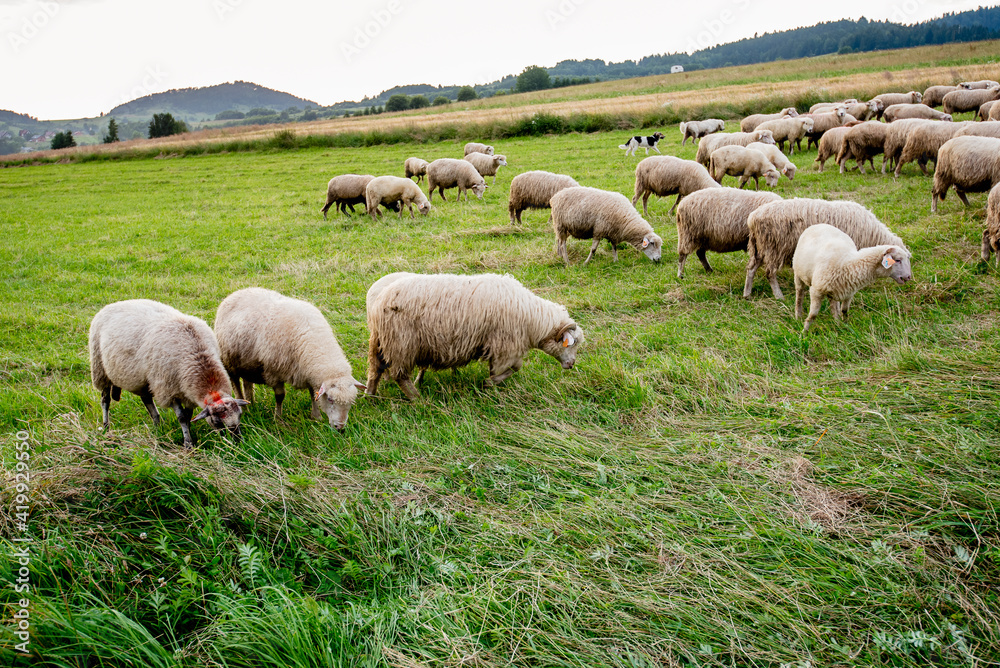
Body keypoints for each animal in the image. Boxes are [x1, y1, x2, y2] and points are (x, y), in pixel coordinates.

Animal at [89, 298, 249, 446]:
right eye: (217, 422)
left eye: (240, 415)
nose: (238, 442)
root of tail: (113, 304)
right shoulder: (169, 390)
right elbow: (182, 417)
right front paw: (188, 443)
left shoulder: (187, 391)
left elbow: (188, 415)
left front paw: (188, 433)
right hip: (100, 369)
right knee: (105, 400)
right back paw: (106, 427)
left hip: (144, 379)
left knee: (147, 399)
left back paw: (158, 425)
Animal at [215, 290, 368, 430]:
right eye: (330, 399)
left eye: (351, 402)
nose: (340, 428)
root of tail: (236, 293)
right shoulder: (274, 373)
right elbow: (280, 396)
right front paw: (278, 419)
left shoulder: (306, 371)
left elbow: (312, 393)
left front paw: (316, 416)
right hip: (229, 362)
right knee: (236, 383)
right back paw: (246, 409)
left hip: (247, 363)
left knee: (247, 382)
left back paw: (250, 402)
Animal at [366, 272, 584, 400]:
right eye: (571, 344)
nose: (571, 365)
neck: (533, 319)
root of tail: (380, 301)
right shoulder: (506, 346)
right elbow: (515, 367)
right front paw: (490, 383)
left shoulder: (497, 345)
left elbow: (502, 368)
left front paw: (491, 382)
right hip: (401, 343)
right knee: (400, 376)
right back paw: (417, 399)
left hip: (380, 342)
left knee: (375, 370)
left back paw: (370, 396)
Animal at [744, 197, 916, 298]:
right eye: (898, 260)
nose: (908, 278)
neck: (873, 234)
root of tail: (752, 218)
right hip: (773, 248)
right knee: (770, 273)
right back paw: (779, 295)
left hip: (760, 248)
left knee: (751, 269)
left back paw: (747, 294)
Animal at [788, 226, 916, 332]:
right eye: (898, 260)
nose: (908, 277)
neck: (847, 263)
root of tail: (819, 224)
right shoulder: (816, 290)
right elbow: (813, 314)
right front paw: (804, 332)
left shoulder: (849, 292)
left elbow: (844, 310)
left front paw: (845, 327)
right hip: (798, 274)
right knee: (799, 294)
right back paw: (798, 315)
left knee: (833, 304)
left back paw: (837, 323)